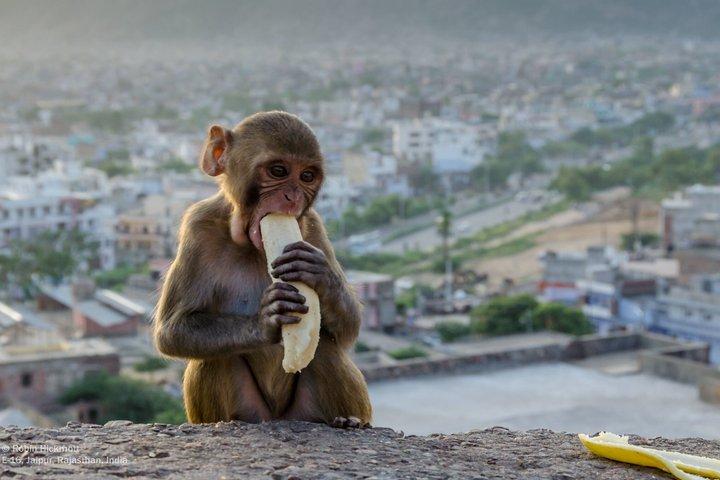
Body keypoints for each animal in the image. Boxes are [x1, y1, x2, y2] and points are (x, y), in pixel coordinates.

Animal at [153, 111, 372, 428]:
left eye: (307, 176)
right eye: (278, 171)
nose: (292, 198)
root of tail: (278, 420)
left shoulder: (313, 227)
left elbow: (349, 328)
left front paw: (319, 274)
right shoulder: (198, 227)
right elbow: (173, 330)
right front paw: (267, 319)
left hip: (303, 413)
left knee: (325, 347)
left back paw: (346, 420)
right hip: (253, 412)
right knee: (213, 357)